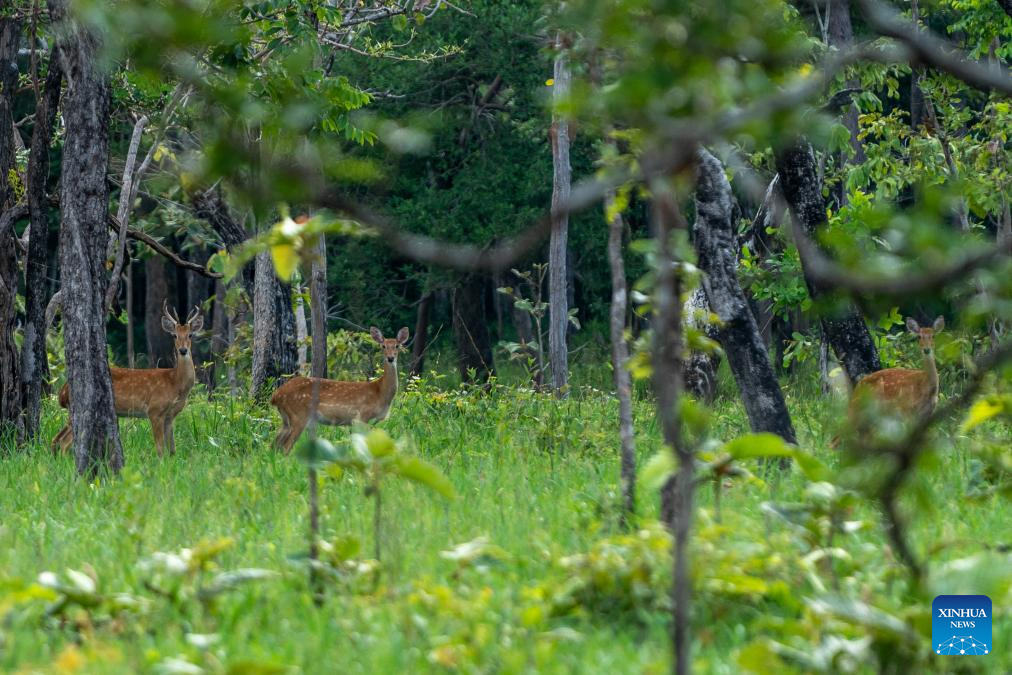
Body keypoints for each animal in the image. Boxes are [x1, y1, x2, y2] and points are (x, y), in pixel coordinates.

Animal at [50, 305, 204, 453]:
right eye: (174, 335)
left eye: (190, 335)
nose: (183, 350)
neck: (175, 384)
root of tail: (62, 392)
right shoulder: (154, 410)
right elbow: (160, 448)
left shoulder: (169, 416)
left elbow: (172, 450)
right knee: (64, 442)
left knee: (56, 438)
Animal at [273, 325, 410, 453]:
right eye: (383, 346)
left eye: (397, 346)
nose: (390, 358)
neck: (380, 392)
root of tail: (275, 396)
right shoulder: (361, 416)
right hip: (299, 414)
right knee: (286, 446)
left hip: (286, 419)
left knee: (274, 444)